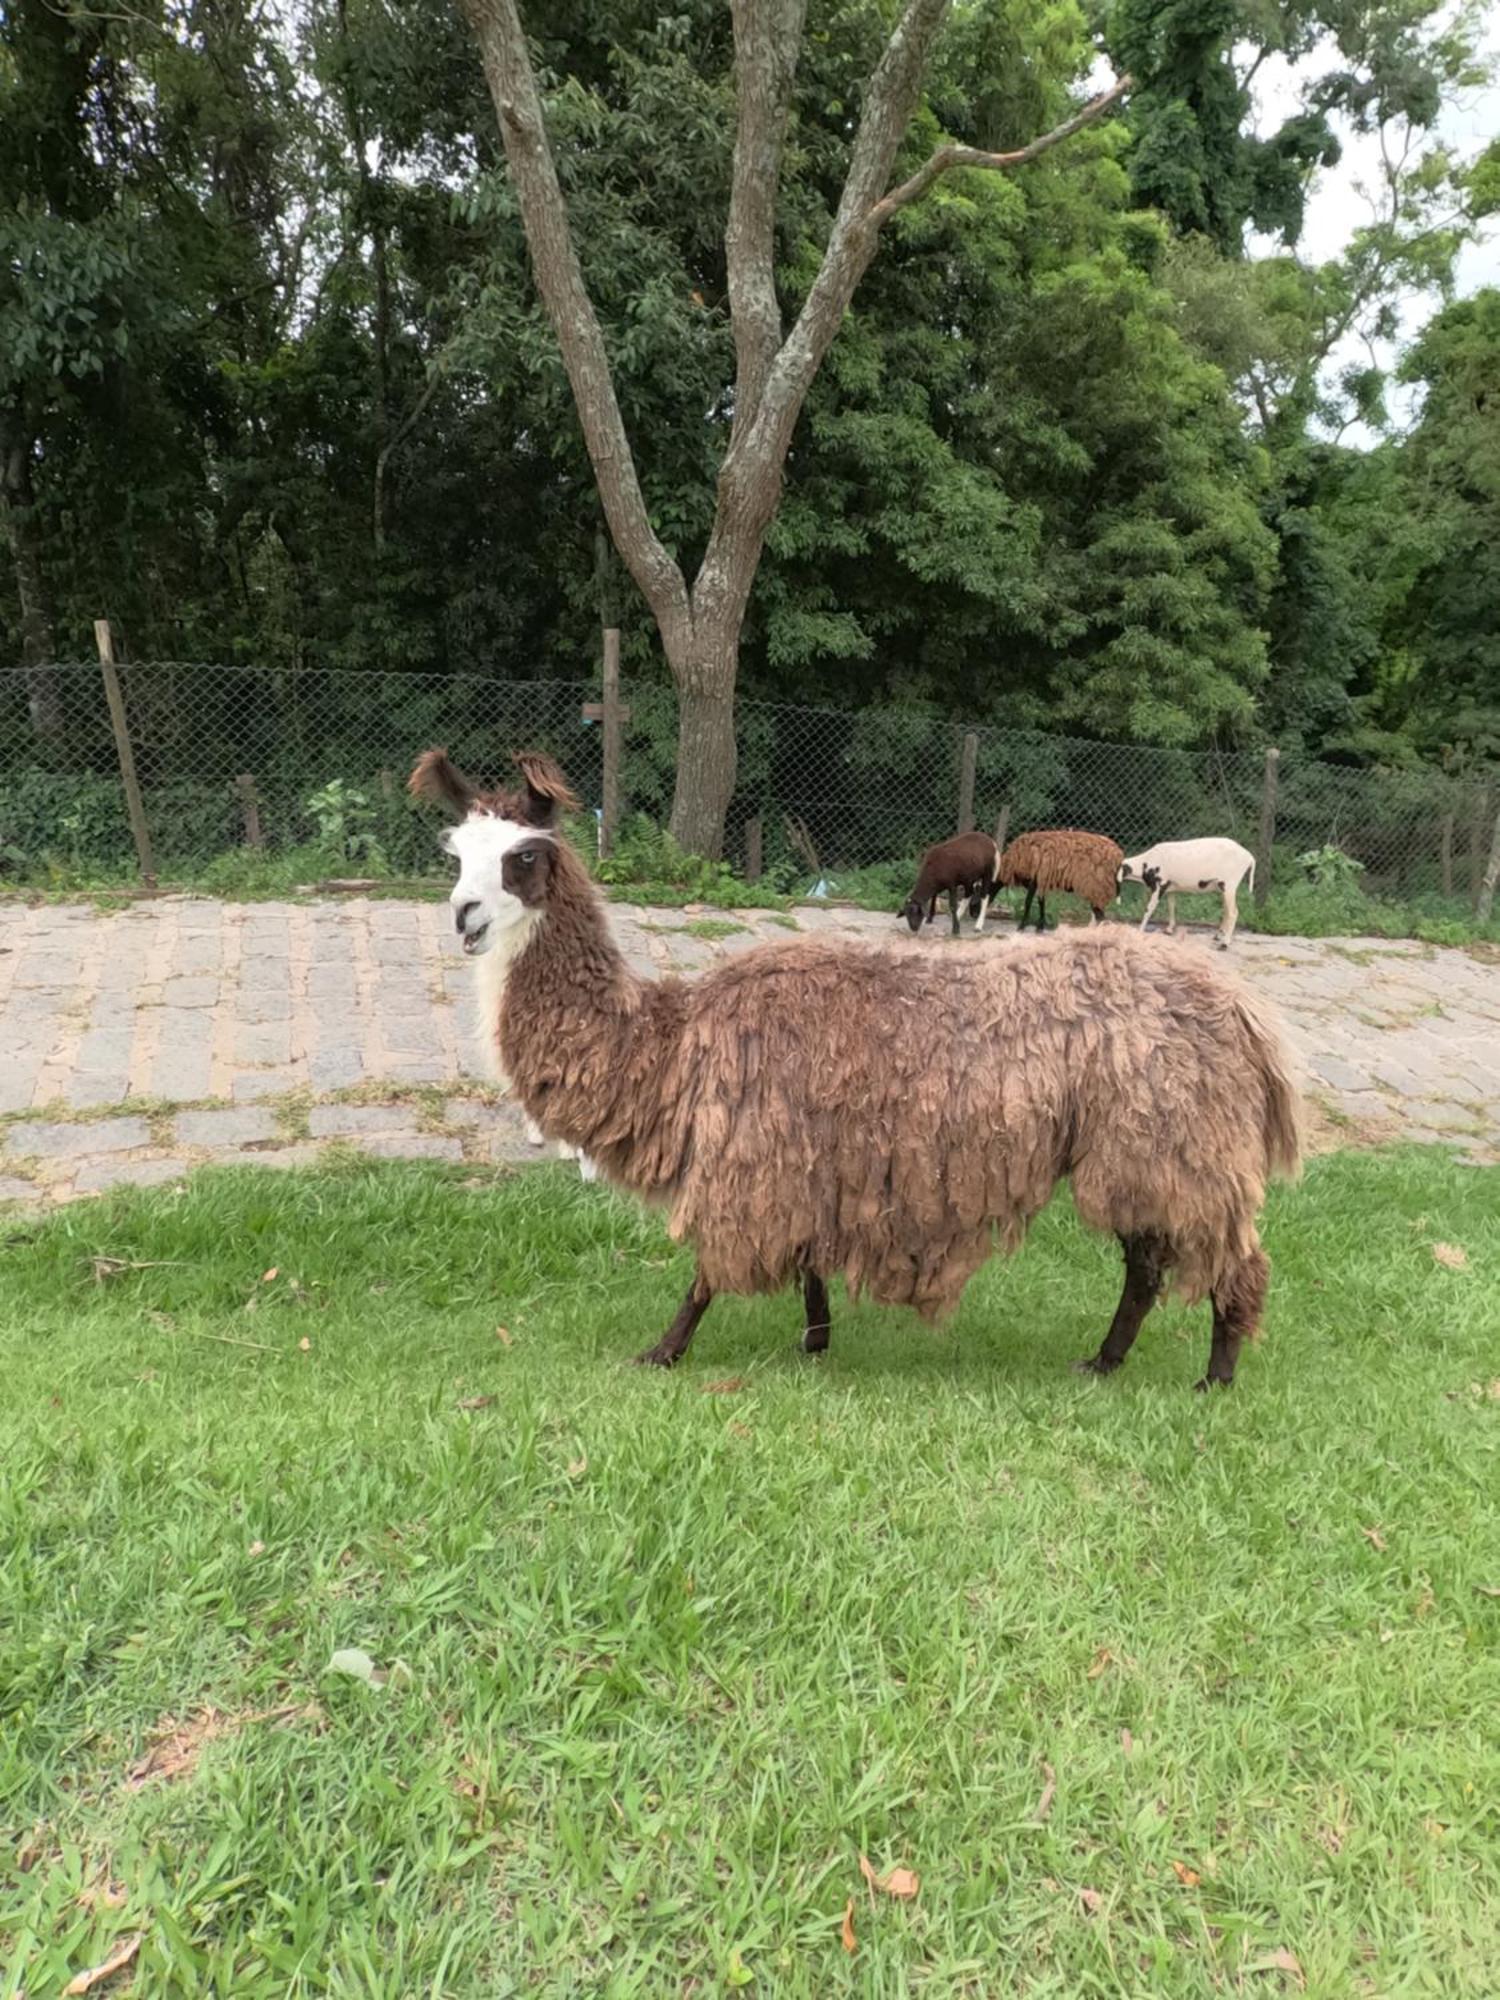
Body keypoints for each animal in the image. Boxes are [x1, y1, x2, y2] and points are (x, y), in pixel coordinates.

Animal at [1000, 828, 1128, 928]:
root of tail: (1118, 855)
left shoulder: (1035, 880)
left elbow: (1028, 902)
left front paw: (1022, 926)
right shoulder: (1041, 880)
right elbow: (1041, 901)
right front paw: (1040, 926)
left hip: (1097, 888)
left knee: (1100, 916)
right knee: (1100, 916)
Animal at [1120, 832, 1264, 948]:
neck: (1144, 863)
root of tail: (1250, 858)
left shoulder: (1159, 885)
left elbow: (1148, 909)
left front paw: (1139, 931)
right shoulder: (1171, 888)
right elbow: (1171, 906)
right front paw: (1169, 930)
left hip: (1229, 885)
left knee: (1233, 913)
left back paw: (1224, 944)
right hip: (1223, 887)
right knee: (1227, 911)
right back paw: (1218, 936)